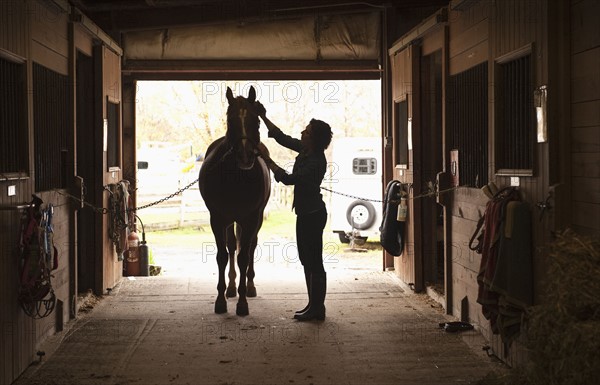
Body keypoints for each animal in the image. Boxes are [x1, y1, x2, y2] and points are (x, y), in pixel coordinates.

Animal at [198, 85, 270, 316]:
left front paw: (243, 303)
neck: (236, 178)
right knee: (231, 248)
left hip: (254, 220)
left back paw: (250, 287)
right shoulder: (218, 219)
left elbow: (244, 257)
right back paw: (231, 289)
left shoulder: (250, 219)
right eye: (230, 121)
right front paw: (221, 300)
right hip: (230, 221)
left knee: (250, 247)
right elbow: (222, 255)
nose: (245, 157)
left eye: (256, 120)